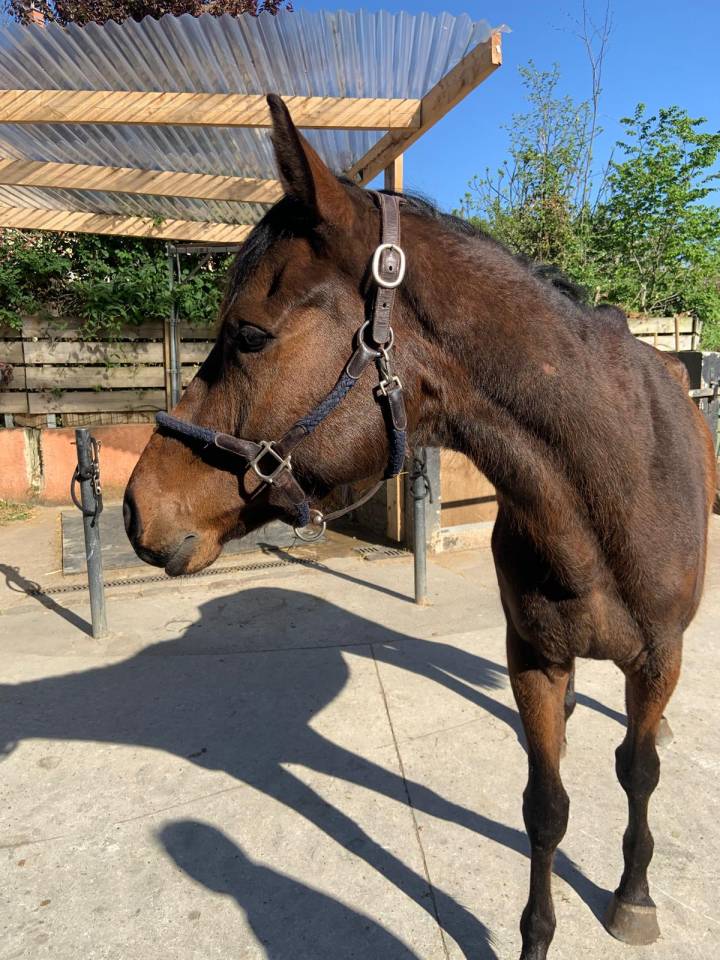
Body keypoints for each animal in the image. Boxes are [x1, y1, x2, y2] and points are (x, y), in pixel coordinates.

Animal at [124, 95, 716, 959]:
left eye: (251, 333)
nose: (137, 506)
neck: (608, 484)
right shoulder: (533, 658)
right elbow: (546, 807)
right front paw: (535, 937)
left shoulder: (656, 659)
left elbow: (637, 774)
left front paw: (633, 896)